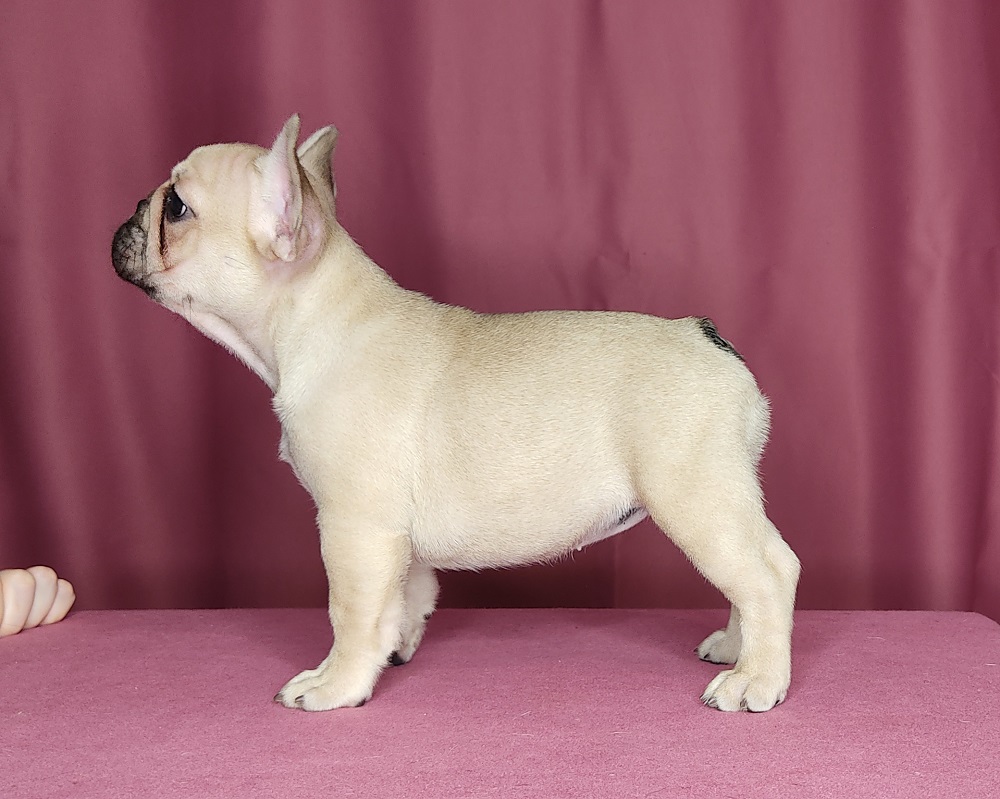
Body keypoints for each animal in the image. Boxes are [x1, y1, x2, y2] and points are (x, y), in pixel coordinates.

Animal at [112, 115, 800, 712]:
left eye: (177, 208)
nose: (131, 209)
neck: (314, 316)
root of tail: (704, 335)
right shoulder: (394, 540)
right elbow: (403, 599)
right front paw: (392, 651)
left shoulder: (354, 527)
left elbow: (351, 613)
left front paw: (336, 684)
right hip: (722, 494)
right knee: (757, 570)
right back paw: (736, 649)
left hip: (695, 495)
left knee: (766, 574)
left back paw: (757, 680)